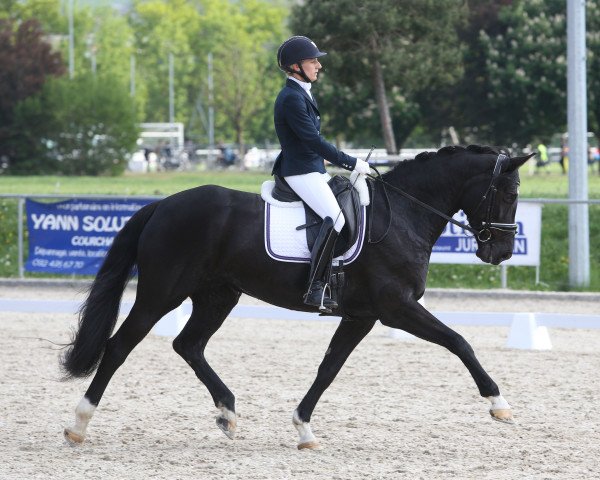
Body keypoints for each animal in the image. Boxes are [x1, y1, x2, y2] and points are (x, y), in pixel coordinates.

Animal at [61, 144, 532, 448]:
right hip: (162, 294)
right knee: (120, 346)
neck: (402, 215)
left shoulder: (361, 316)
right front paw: (499, 404)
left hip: (218, 296)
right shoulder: (397, 308)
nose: (501, 253)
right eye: (509, 193)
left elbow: (329, 368)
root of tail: (161, 206)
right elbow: (459, 341)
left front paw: (304, 428)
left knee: (188, 345)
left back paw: (228, 414)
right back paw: (78, 425)